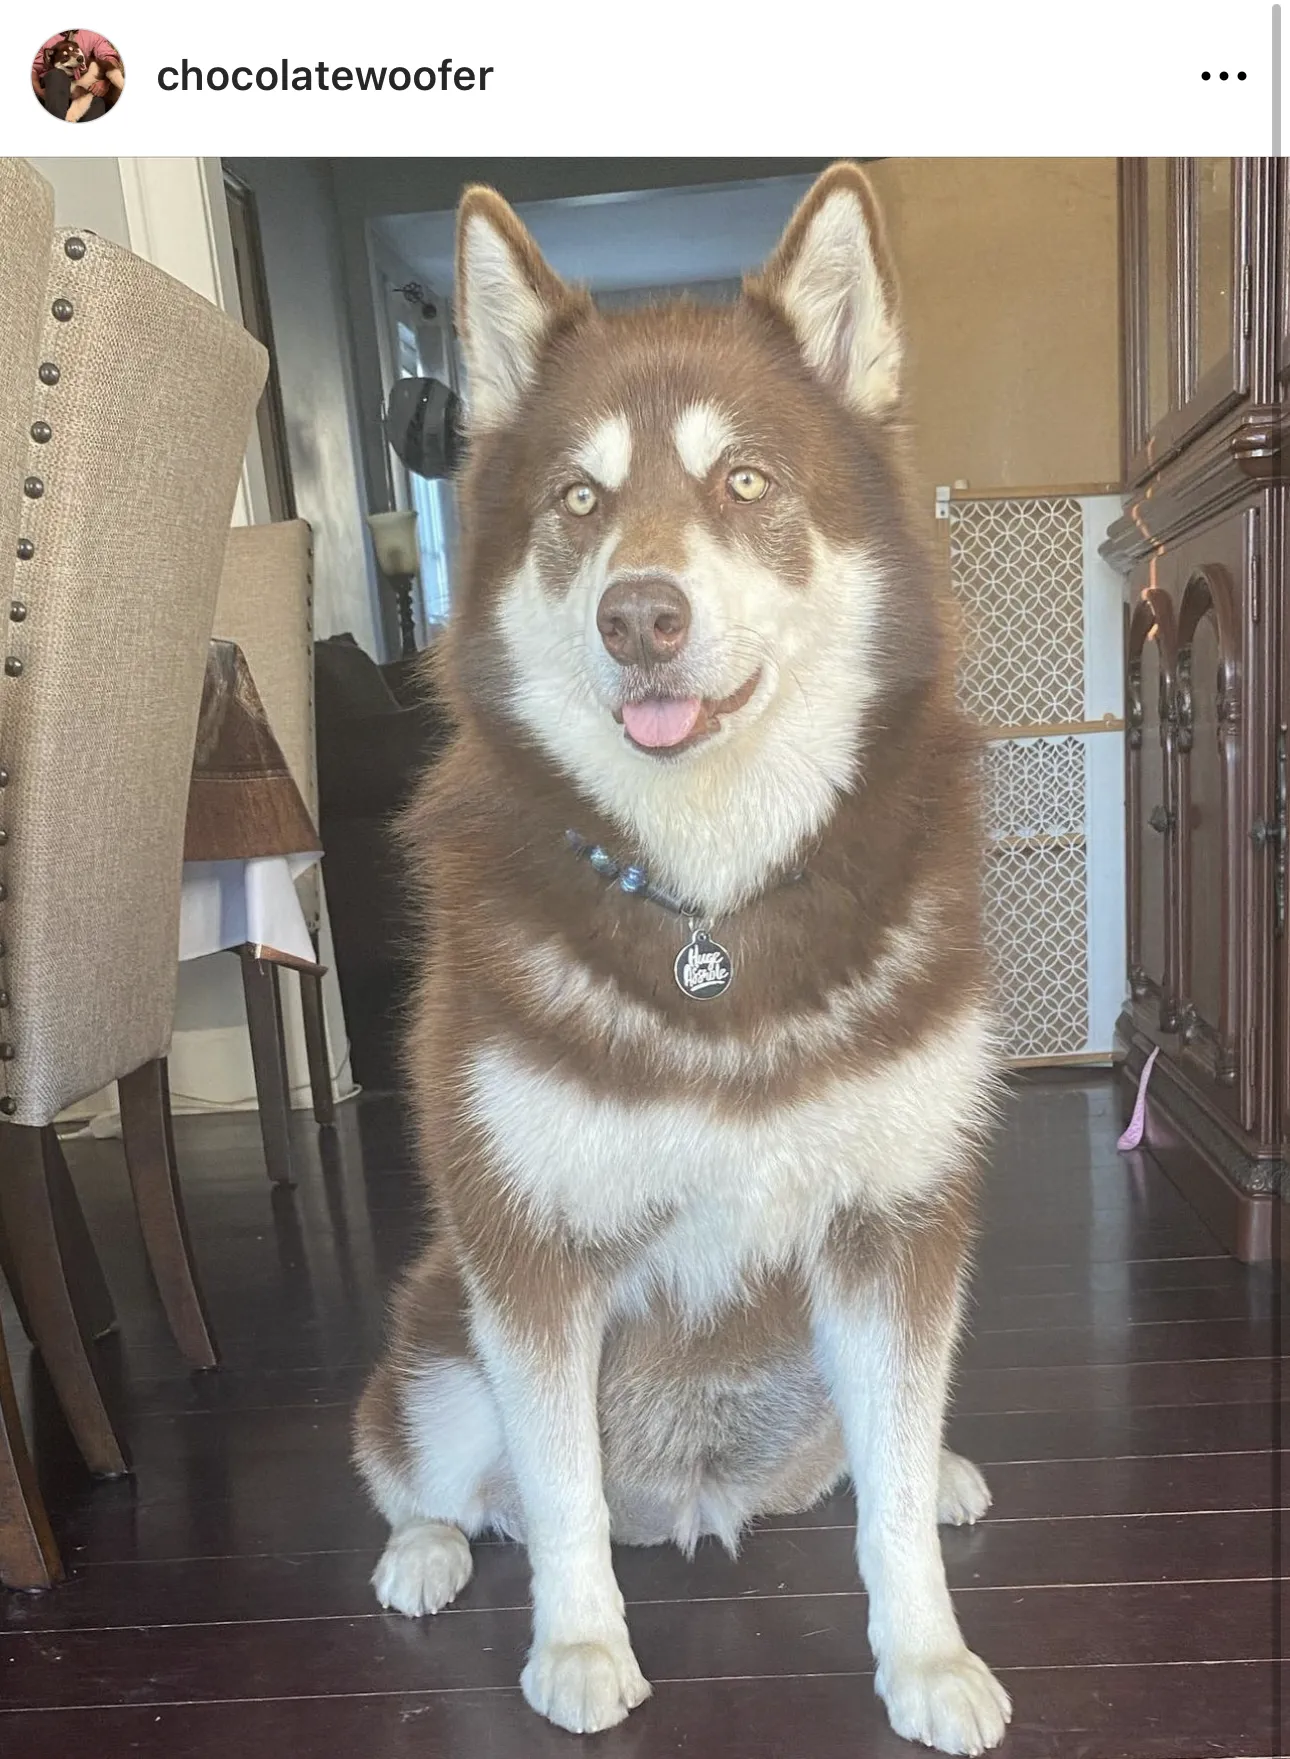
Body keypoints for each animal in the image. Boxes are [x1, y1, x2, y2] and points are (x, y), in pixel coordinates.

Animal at [355, 158, 1013, 1751]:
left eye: (746, 483)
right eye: (579, 499)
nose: (639, 613)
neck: (708, 902)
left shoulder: (898, 1224)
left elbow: (890, 1500)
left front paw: (926, 1655)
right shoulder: (526, 1244)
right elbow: (558, 1493)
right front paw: (581, 1645)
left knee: (869, 1460)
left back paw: (947, 1472)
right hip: (436, 1338)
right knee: (430, 1468)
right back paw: (425, 1547)